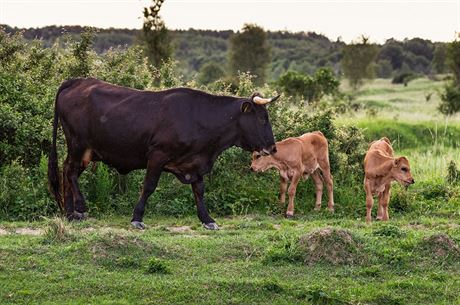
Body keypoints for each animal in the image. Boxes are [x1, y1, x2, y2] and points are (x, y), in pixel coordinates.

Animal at [47, 78, 276, 228]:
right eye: (262, 119)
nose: (273, 148)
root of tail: (78, 81)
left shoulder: (195, 163)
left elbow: (199, 191)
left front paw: (207, 219)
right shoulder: (157, 155)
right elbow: (149, 186)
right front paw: (137, 218)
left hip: (84, 151)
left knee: (66, 171)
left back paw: (69, 213)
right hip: (78, 144)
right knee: (70, 172)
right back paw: (80, 206)